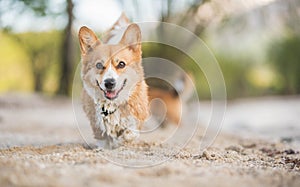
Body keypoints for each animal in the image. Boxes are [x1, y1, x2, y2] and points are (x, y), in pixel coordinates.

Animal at [78, 13, 149, 149]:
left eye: (121, 64)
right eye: (99, 65)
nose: (109, 83)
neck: (112, 104)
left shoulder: (138, 113)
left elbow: (130, 133)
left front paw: (121, 141)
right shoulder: (97, 124)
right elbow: (103, 138)